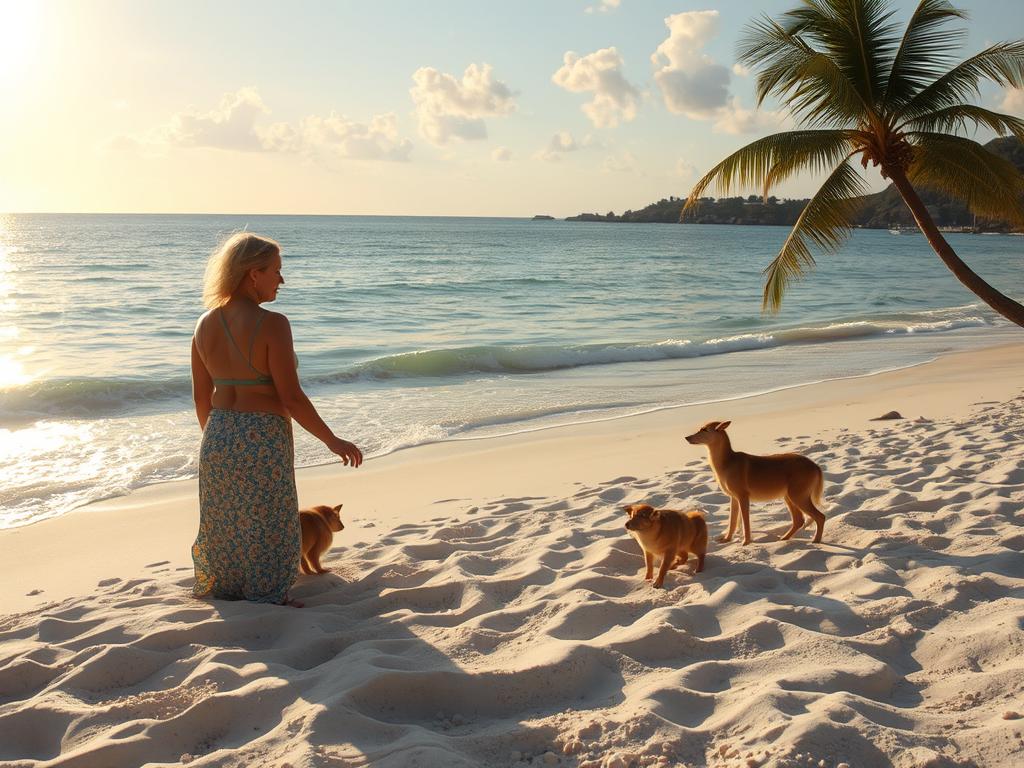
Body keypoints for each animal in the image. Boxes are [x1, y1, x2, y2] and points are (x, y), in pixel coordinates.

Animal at [684, 421, 827, 548]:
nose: (686, 437)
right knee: (799, 520)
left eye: (704, 430)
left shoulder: (743, 496)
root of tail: (815, 466)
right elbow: (732, 521)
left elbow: (745, 522)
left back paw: (816, 541)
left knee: (820, 517)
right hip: (789, 496)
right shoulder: (733, 498)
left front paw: (746, 542)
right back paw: (784, 538)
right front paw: (727, 539)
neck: (728, 462)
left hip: (798, 496)